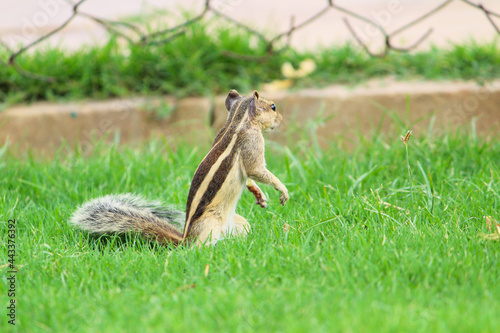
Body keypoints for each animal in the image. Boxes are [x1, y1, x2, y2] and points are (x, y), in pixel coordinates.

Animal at [70, 89, 290, 245]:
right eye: (272, 107)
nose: (281, 120)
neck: (238, 119)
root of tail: (184, 239)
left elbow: (250, 176)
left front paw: (258, 193)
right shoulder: (252, 143)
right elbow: (256, 169)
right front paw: (282, 190)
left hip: (240, 223)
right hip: (209, 225)